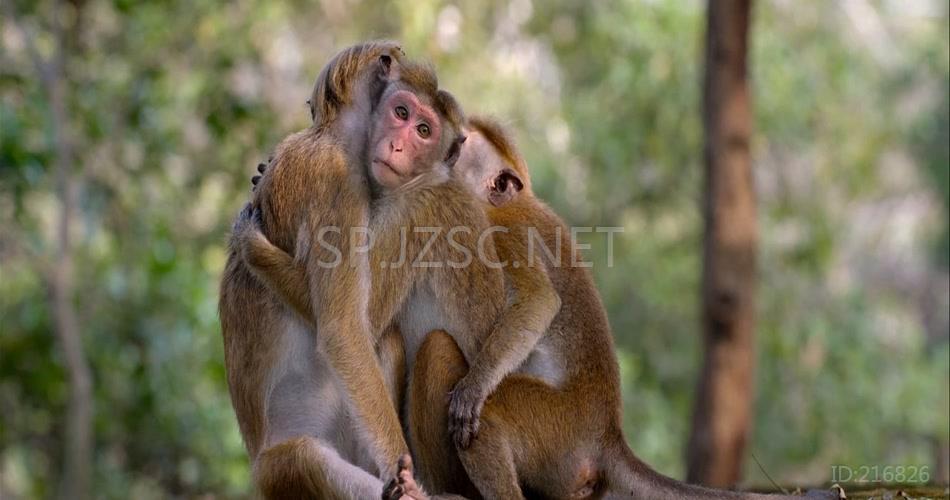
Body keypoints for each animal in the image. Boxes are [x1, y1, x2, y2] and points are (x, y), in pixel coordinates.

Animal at [219, 41, 836, 500]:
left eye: (424, 129)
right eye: (401, 112)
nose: (399, 144)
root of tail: (604, 434)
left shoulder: (434, 209)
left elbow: (356, 327)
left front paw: (256, 246)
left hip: (549, 432)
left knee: (443, 363)